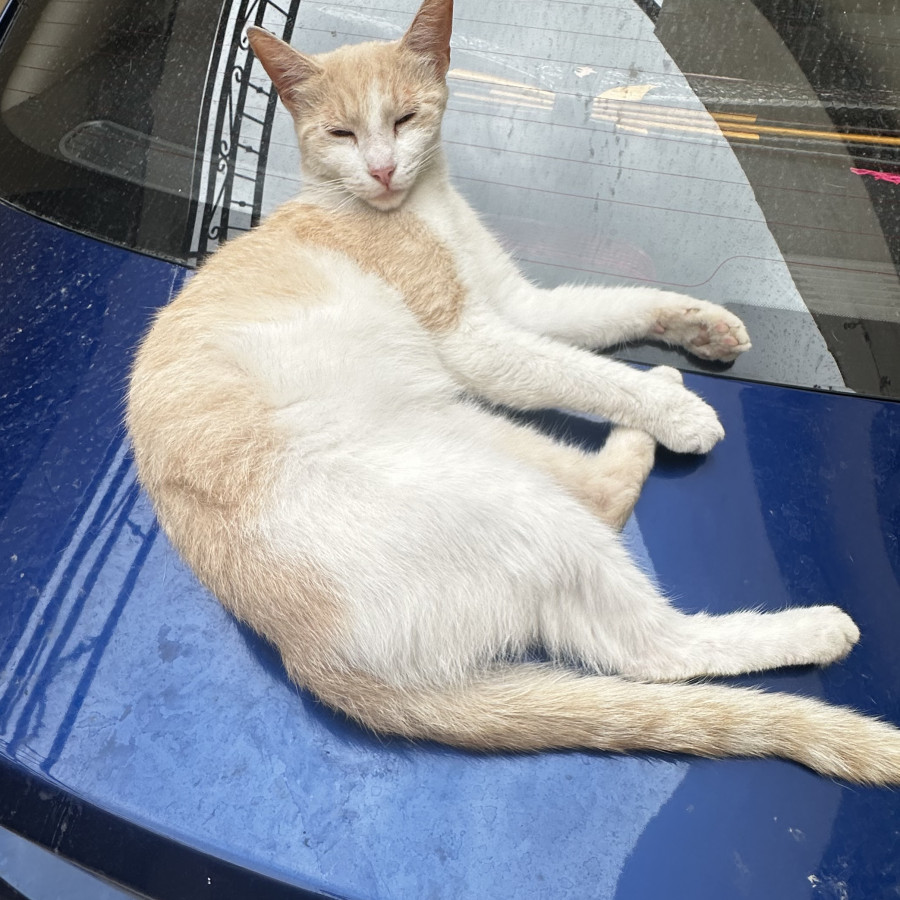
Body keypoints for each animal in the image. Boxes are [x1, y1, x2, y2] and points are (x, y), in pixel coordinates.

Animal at [125, 0, 900, 784]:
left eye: (404, 118)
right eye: (340, 134)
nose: (380, 169)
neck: (423, 205)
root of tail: (313, 663)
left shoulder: (520, 307)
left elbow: (610, 310)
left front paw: (700, 324)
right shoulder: (477, 338)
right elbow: (587, 372)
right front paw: (675, 411)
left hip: (474, 436)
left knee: (599, 501)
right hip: (495, 491)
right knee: (652, 646)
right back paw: (808, 616)